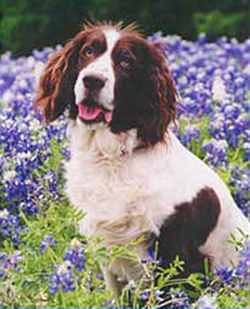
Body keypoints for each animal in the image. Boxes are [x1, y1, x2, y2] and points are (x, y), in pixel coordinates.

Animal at [35, 21, 250, 296]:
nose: (92, 80)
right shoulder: (107, 250)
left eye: (126, 61)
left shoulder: (176, 253)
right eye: (88, 51)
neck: (112, 157)